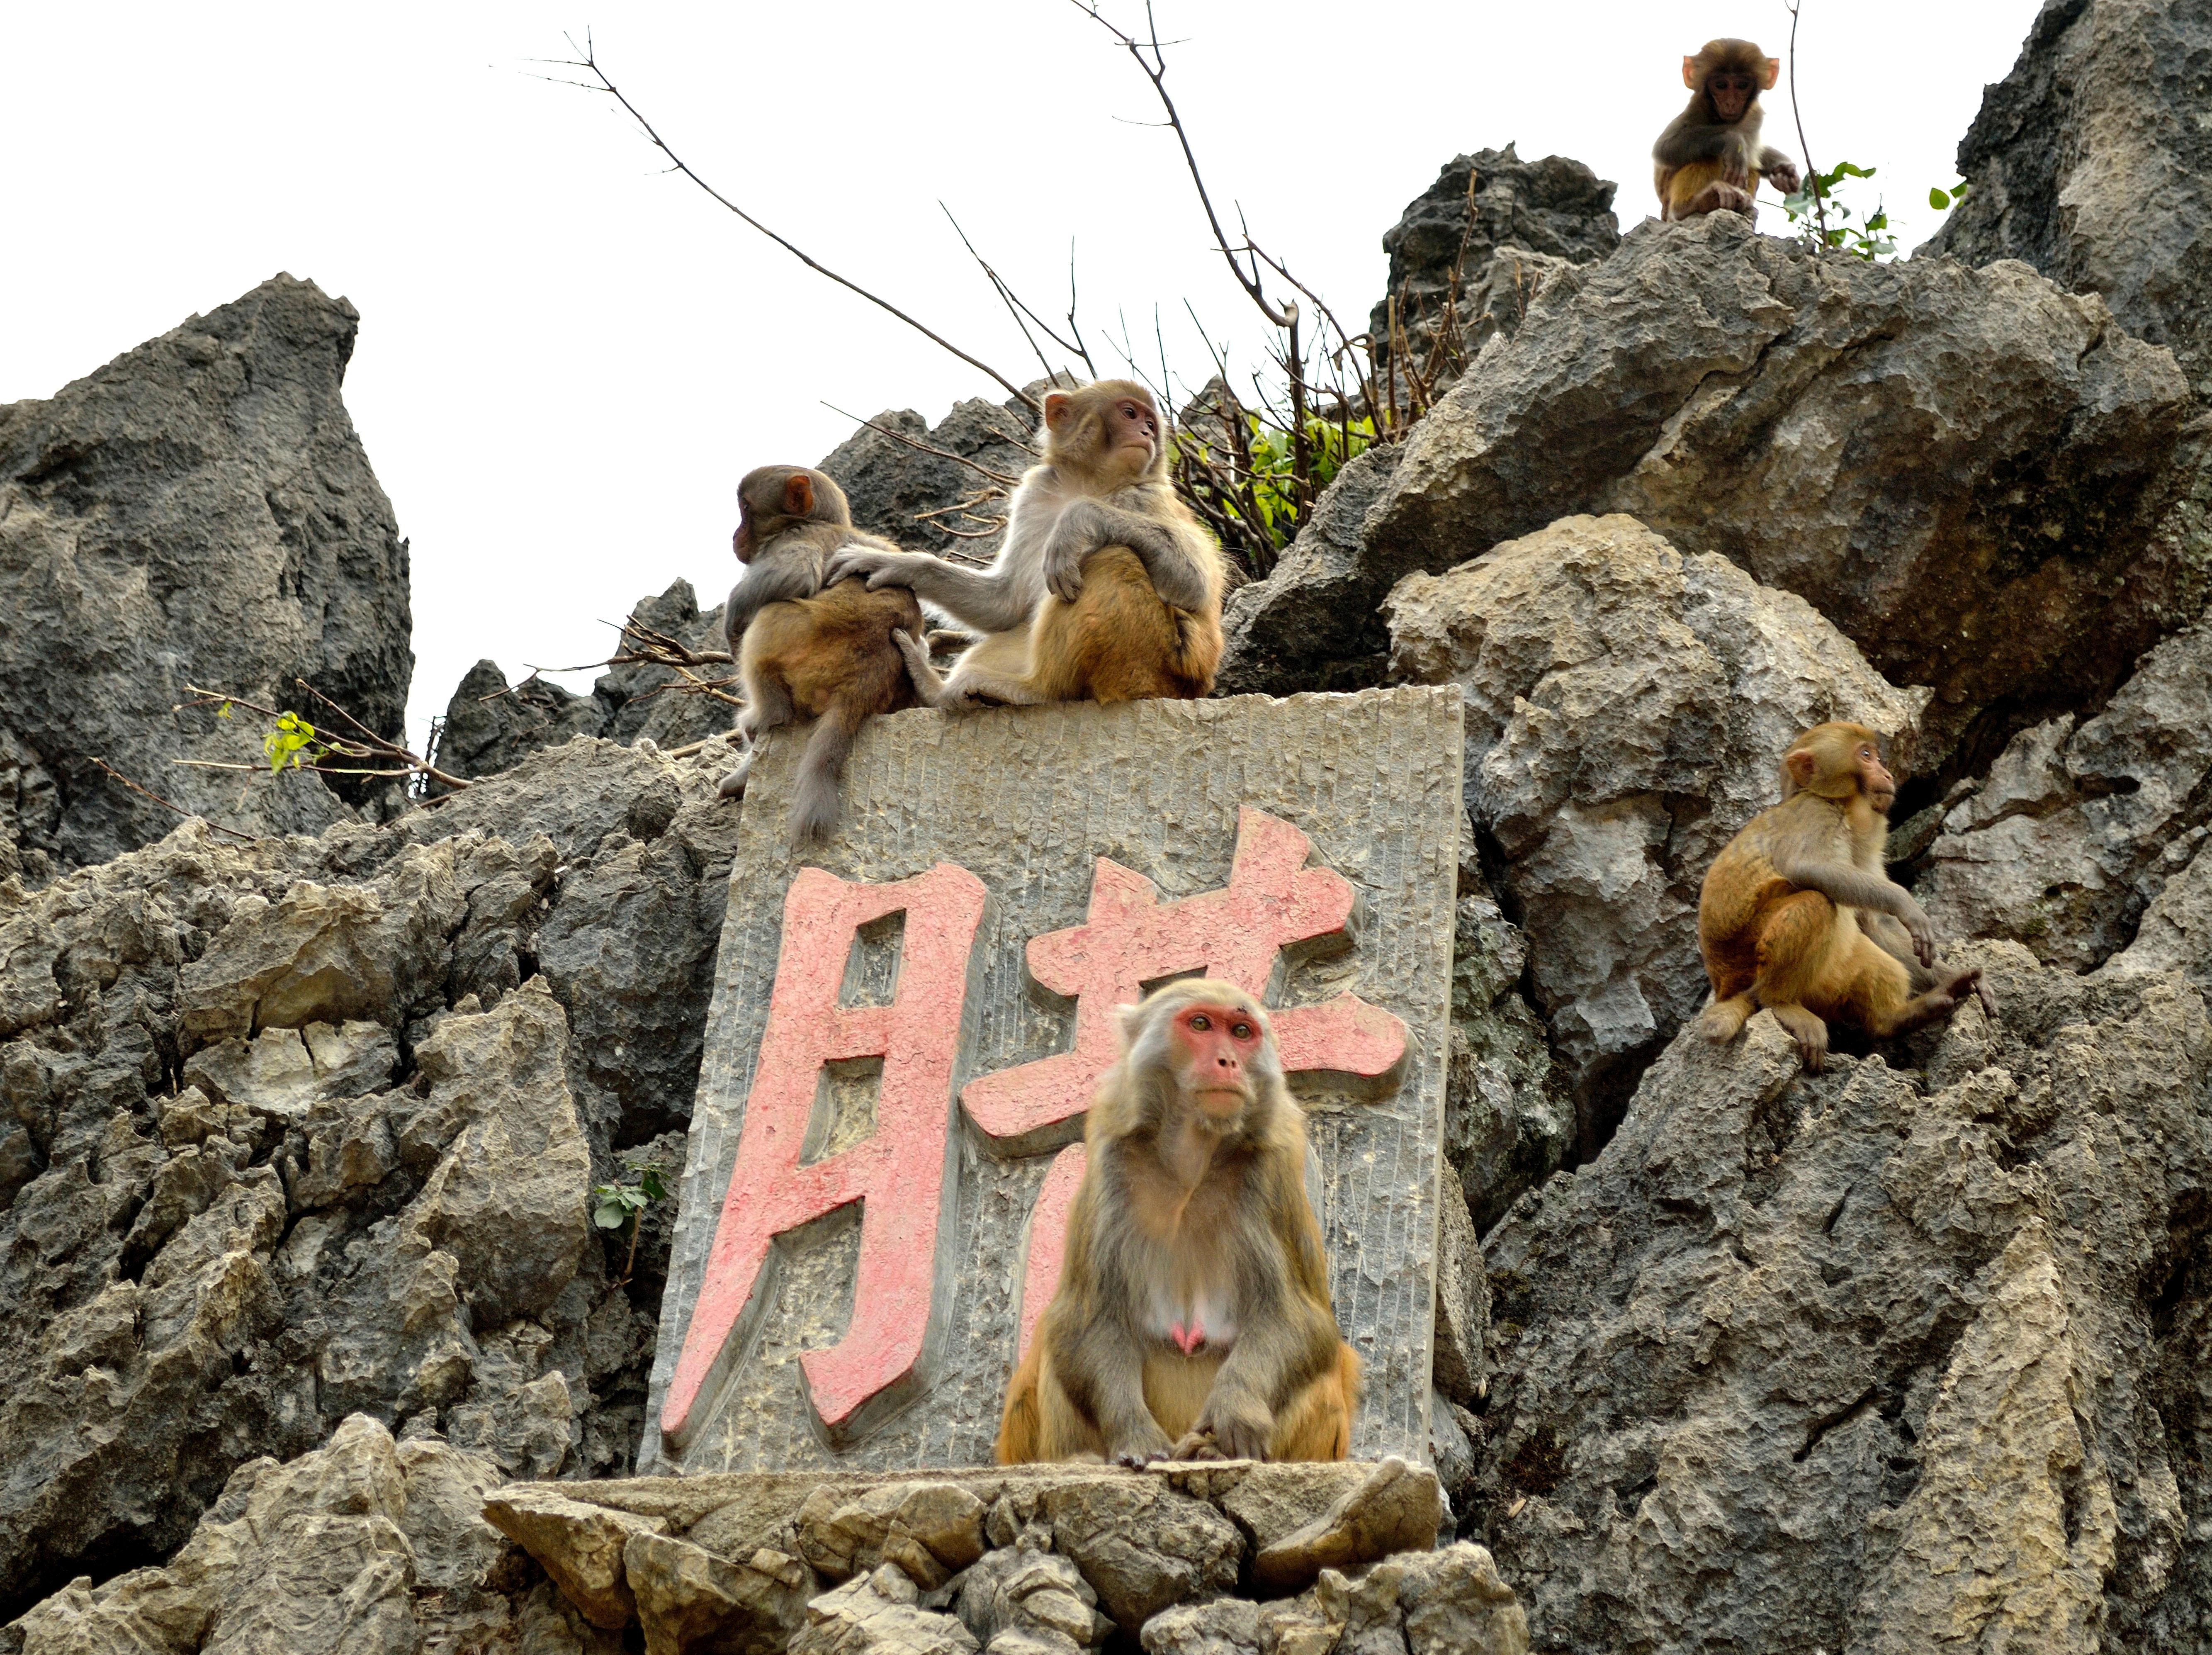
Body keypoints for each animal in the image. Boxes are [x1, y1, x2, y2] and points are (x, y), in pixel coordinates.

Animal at [823, 380, 1230, 717]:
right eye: (1130, 413)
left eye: (1150, 422)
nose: (1147, 432)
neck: (1091, 482)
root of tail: (1192, 686)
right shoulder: (1036, 494)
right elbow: (1006, 604)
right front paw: (894, 564)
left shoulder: (1146, 496)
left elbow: (1195, 587)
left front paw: (1078, 518)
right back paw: (937, 690)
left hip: (1155, 665)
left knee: (1114, 557)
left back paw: (1035, 690)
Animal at [995, 978, 1354, 1469]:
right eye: (1201, 1024)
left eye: (1242, 1032)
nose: (1228, 1062)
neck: (1192, 1159)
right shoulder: (1112, 1167)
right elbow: (1085, 1319)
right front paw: (1135, 1435)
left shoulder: (1270, 1176)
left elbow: (1298, 1317)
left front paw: (1236, 1409)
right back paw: (1081, 1460)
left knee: (1324, 1370)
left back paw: (1210, 1451)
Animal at [1663, 39, 1796, 223]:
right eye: (1721, 86)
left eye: (1742, 85)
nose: (1731, 103)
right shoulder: (1696, 108)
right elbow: (1665, 148)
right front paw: (1733, 141)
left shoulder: (1754, 113)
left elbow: (1757, 150)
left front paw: (1785, 172)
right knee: (1707, 155)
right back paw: (1694, 204)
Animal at [1690, 725, 1991, 1075]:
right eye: (1866, 756)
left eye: (1876, 756)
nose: (1887, 774)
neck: (1844, 807)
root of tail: (1724, 988)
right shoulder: (1816, 812)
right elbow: (1806, 867)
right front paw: (1906, 904)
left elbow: (1873, 923)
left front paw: (1955, 976)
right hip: (1747, 962)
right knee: (1818, 903)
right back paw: (1781, 1002)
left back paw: (1896, 1018)